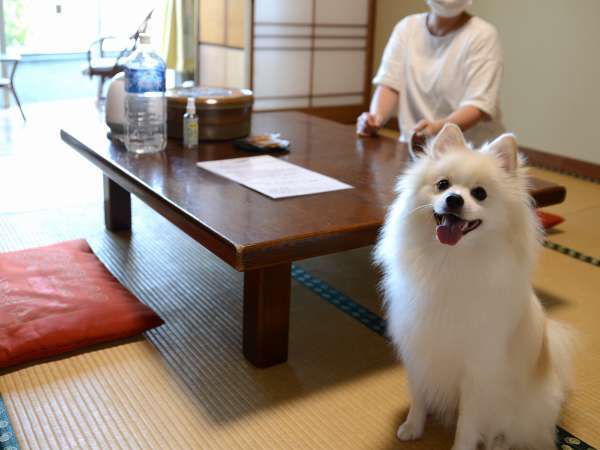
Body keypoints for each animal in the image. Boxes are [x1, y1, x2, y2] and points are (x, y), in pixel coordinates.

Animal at [376, 124, 572, 450]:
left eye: (480, 193)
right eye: (442, 185)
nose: (454, 199)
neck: (448, 261)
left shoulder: (477, 373)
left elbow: (468, 423)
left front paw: (461, 446)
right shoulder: (419, 351)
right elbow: (418, 395)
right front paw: (413, 427)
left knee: (514, 433)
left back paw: (498, 442)